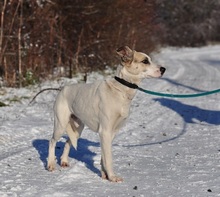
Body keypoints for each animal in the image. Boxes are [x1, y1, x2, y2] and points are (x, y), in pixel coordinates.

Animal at [47, 45, 165, 182]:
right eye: (145, 61)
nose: (163, 69)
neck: (120, 90)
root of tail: (63, 89)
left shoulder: (111, 133)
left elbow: (104, 156)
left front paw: (105, 175)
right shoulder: (105, 131)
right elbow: (108, 158)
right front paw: (113, 177)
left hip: (77, 128)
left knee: (68, 142)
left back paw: (64, 161)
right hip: (60, 125)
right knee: (52, 142)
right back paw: (50, 164)